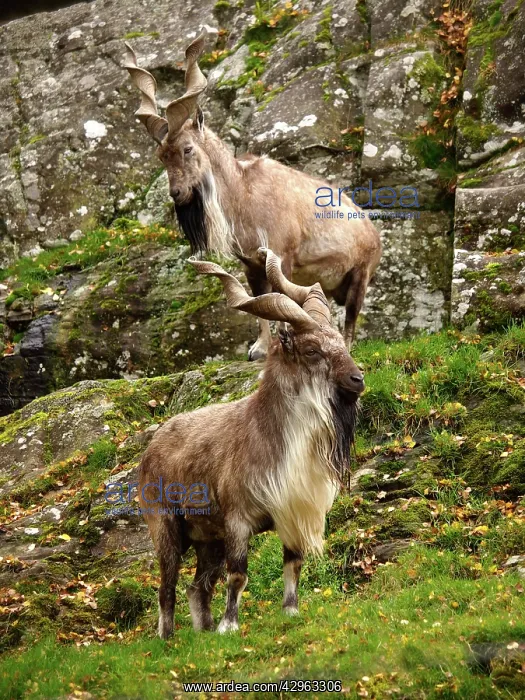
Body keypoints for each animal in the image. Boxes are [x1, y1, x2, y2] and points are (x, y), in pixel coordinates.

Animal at [123, 30, 382, 360]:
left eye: (187, 148)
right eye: (161, 156)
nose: (177, 193)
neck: (244, 195)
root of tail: (372, 230)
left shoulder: (281, 258)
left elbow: (280, 299)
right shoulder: (251, 266)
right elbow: (259, 303)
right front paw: (258, 348)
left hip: (360, 276)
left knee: (351, 317)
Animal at [138, 247, 363, 637]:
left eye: (339, 341)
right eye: (311, 350)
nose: (357, 379)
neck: (268, 436)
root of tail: (151, 447)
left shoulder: (290, 516)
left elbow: (293, 565)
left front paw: (290, 612)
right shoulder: (238, 522)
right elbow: (239, 576)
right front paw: (229, 626)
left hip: (207, 540)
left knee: (198, 587)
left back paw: (203, 631)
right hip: (166, 527)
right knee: (167, 587)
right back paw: (168, 638)